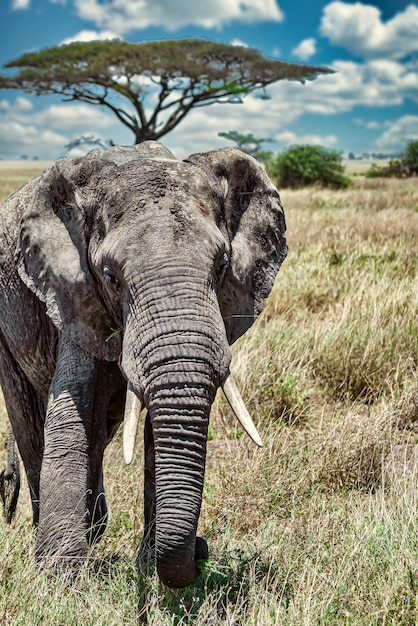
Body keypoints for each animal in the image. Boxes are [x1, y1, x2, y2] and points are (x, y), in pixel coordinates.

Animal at [0, 140, 288, 584]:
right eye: (109, 275)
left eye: (223, 264)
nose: (201, 552)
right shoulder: (72, 294)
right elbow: (70, 417)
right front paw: (60, 580)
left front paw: (152, 563)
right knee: (30, 422)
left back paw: (95, 527)